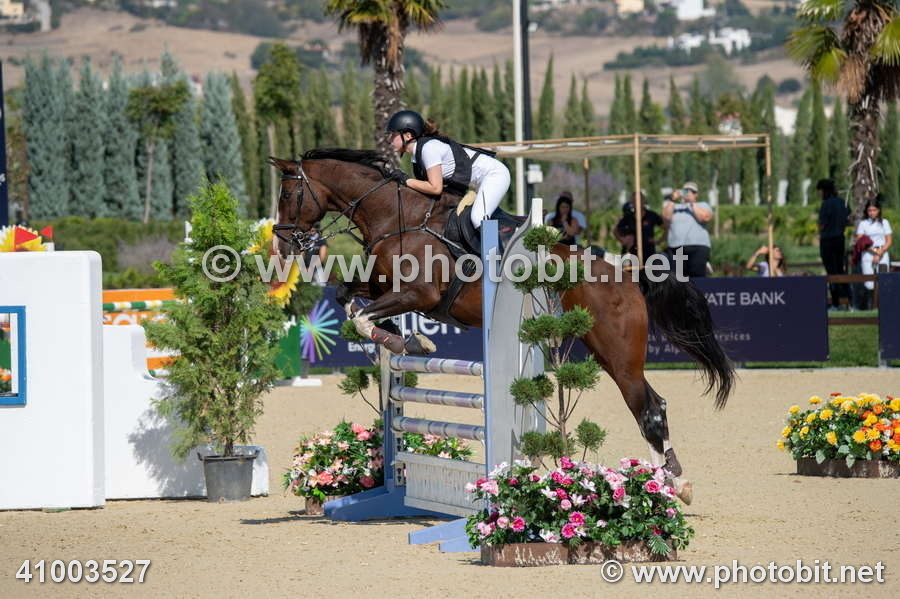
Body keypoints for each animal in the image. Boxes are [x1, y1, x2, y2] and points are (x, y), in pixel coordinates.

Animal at [270, 149, 734, 504]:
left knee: (649, 410)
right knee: (656, 405)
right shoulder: (382, 285)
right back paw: (671, 480)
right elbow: (349, 298)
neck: (395, 217)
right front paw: (406, 338)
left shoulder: (419, 294)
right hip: (608, 353)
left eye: (289, 193)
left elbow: (365, 316)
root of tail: (627, 273)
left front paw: (413, 343)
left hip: (620, 356)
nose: (283, 242)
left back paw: (674, 485)